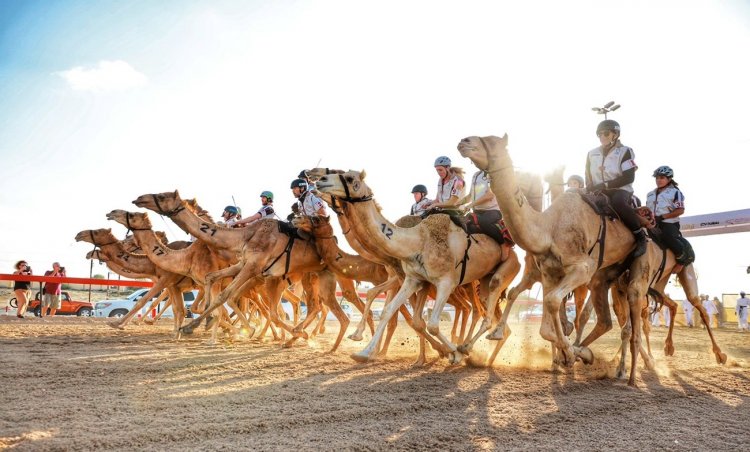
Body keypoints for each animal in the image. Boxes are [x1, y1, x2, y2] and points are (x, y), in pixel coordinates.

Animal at [312, 169, 524, 364]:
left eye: (349, 178)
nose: (319, 180)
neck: (416, 242)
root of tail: (516, 255)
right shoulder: (413, 279)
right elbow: (390, 312)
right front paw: (364, 352)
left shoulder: (445, 282)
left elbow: (431, 324)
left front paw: (450, 353)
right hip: (482, 281)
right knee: (484, 310)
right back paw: (480, 354)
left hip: (504, 270)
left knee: (484, 310)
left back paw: (469, 348)